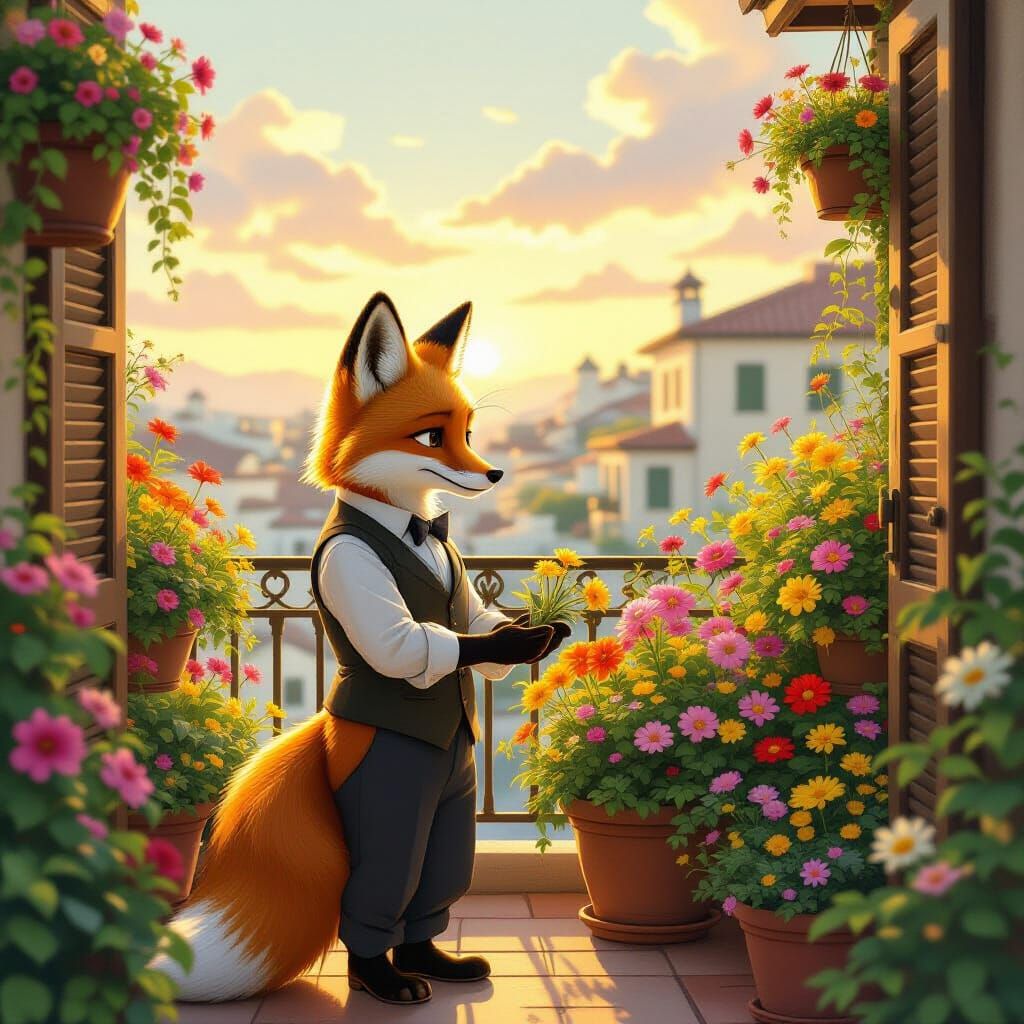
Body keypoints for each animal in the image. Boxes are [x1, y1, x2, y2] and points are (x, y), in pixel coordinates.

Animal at [155, 293, 566, 1005]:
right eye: (431, 437)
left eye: (469, 430)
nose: (494, 472)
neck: (413, 525)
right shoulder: (361, 580)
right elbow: (413, 642)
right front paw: (516, 639)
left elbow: (471, 616)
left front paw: (530, 632)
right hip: (399, 796)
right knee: (382, 892)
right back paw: (385, 979)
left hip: (451, 796)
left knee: (430, 891)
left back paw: (432, 961)